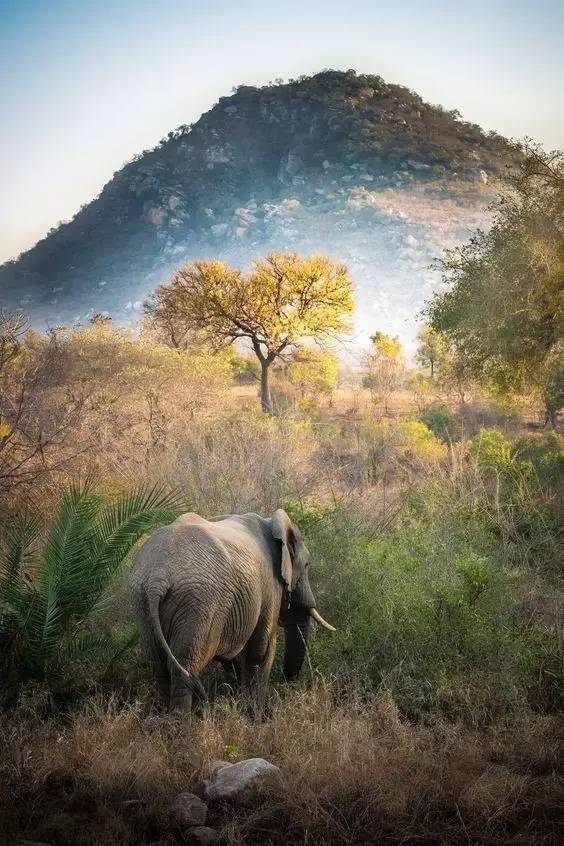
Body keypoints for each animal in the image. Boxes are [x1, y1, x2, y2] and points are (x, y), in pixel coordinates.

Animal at [131, 510, 334, 716]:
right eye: (307, 564)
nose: (287, 685)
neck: (272, 522)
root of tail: (157, 578)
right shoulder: (269, 586)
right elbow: (261, 651)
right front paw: (254, 716)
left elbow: (236, 656)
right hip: (199, 604)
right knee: (185, 666)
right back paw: (182, 721)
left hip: (144, 603)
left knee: (159, 665)